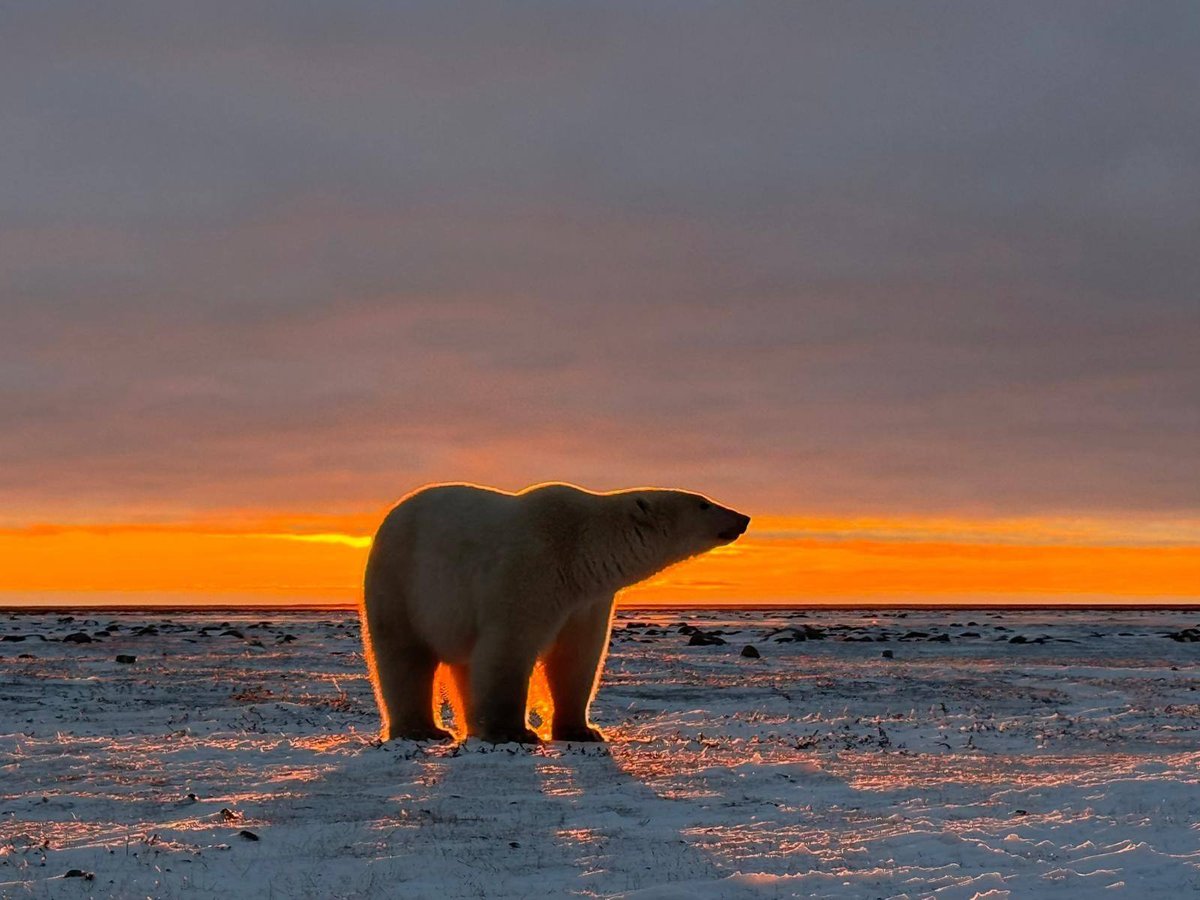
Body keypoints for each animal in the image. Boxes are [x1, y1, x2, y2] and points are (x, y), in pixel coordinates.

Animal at [357, 487, 748, 748]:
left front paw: (584, 731)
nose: (743, 518)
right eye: (704, 503)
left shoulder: (587, 601)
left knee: (464, 664)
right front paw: (515, 732)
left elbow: (576, 659)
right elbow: (508, 649)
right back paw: (424, 730)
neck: (580, 548)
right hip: (401, 582)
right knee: (404, 657)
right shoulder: (529, 571)